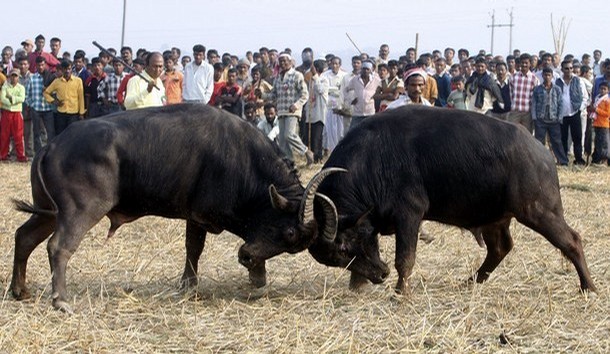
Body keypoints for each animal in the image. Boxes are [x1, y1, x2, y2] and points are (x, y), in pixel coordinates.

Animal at [10, 103, 342, 312]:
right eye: (289, 232)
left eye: (293, 245)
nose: (245, 257)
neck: (242, 159)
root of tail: (51, 145)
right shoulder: (201, 216)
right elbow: (195, 248)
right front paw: (192, 284)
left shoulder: (197, 218)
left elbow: (194, 248)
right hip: (79, 211)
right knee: (58, 247)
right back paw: (60, 300)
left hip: (48, 212)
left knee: (24, 237)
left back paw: (19, 290)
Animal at [308, 106, 592, 294]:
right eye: (336, 256)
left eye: (342, 247)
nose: (380, 275)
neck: (373, 158)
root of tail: (542, 152)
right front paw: (357, 286)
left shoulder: (409, 215)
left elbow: (405, 258)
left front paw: (400, 292)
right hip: (495, 219)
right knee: (500, 248)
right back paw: (471, 281)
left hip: (538, 210)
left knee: (572, 240)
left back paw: (588, 286)